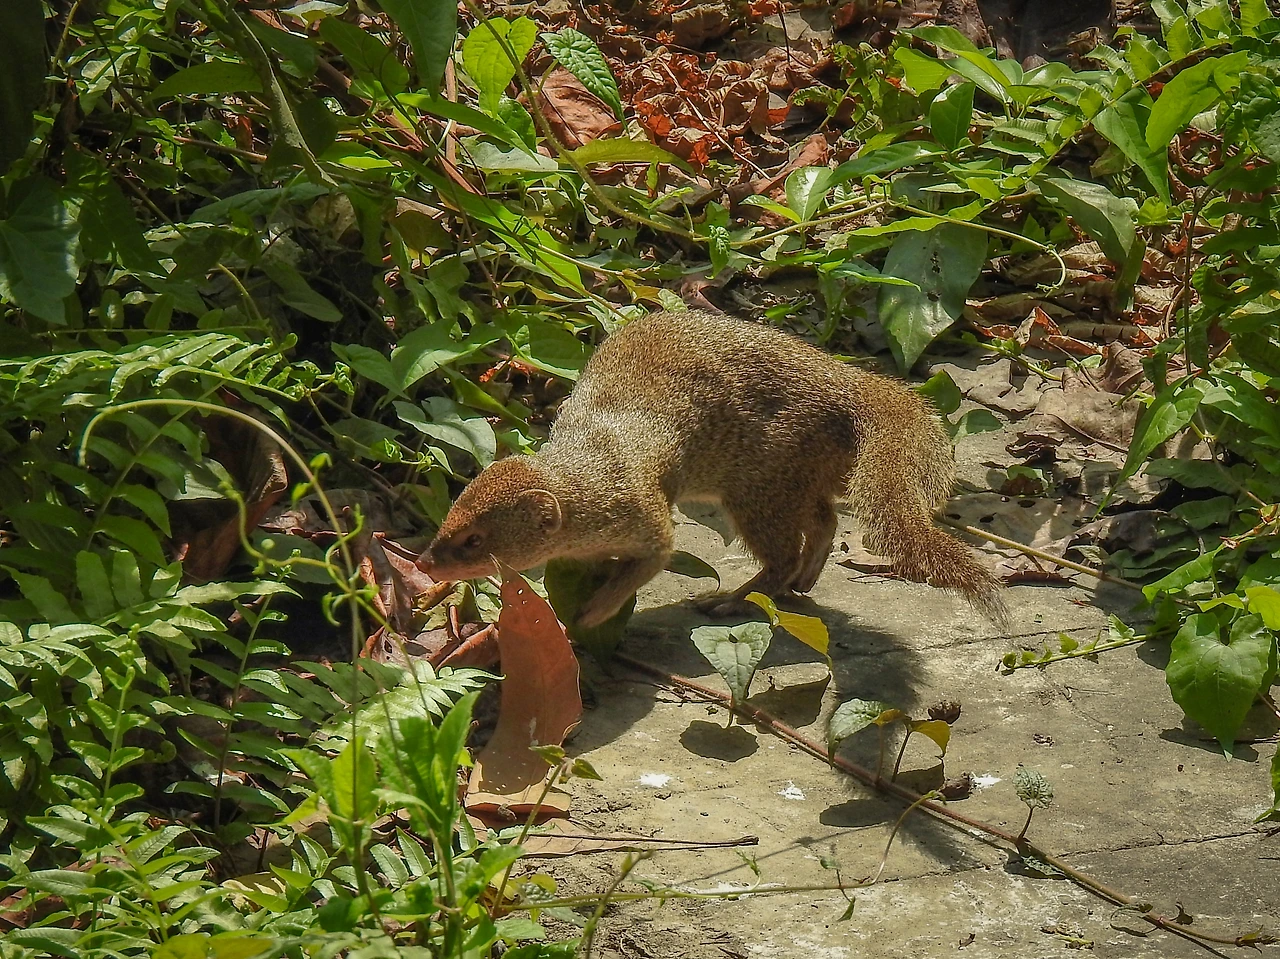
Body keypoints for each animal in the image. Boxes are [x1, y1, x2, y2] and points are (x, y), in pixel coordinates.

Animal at [417, 310, 1007, 629]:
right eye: (448, 520)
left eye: (474, 540)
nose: (424, 563)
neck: (590, 460)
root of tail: (848, 383)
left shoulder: (646, 513)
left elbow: (657, 555)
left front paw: (594, 611)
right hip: (795, 475)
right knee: (824, 519)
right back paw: (805, 579)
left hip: (759, 481)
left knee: (784, 551)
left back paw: (728, 599)